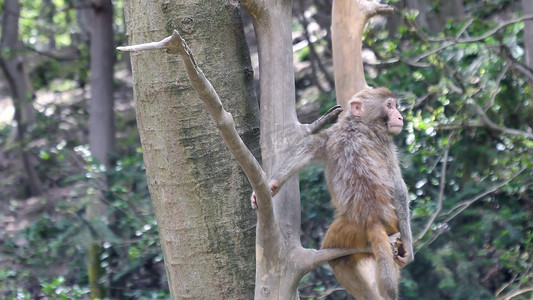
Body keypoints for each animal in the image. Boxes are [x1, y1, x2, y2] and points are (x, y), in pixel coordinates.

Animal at [251, 86, 414, 300]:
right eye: (389, 106)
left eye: (394, 105)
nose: (399, 116)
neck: (360, 123)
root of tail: (372, 218)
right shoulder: (385, 144)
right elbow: (398, 185)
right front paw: (409, 249)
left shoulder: (335, 134)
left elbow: (311, 146)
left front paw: (272, 184)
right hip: (371, 228)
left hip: (351, 230)